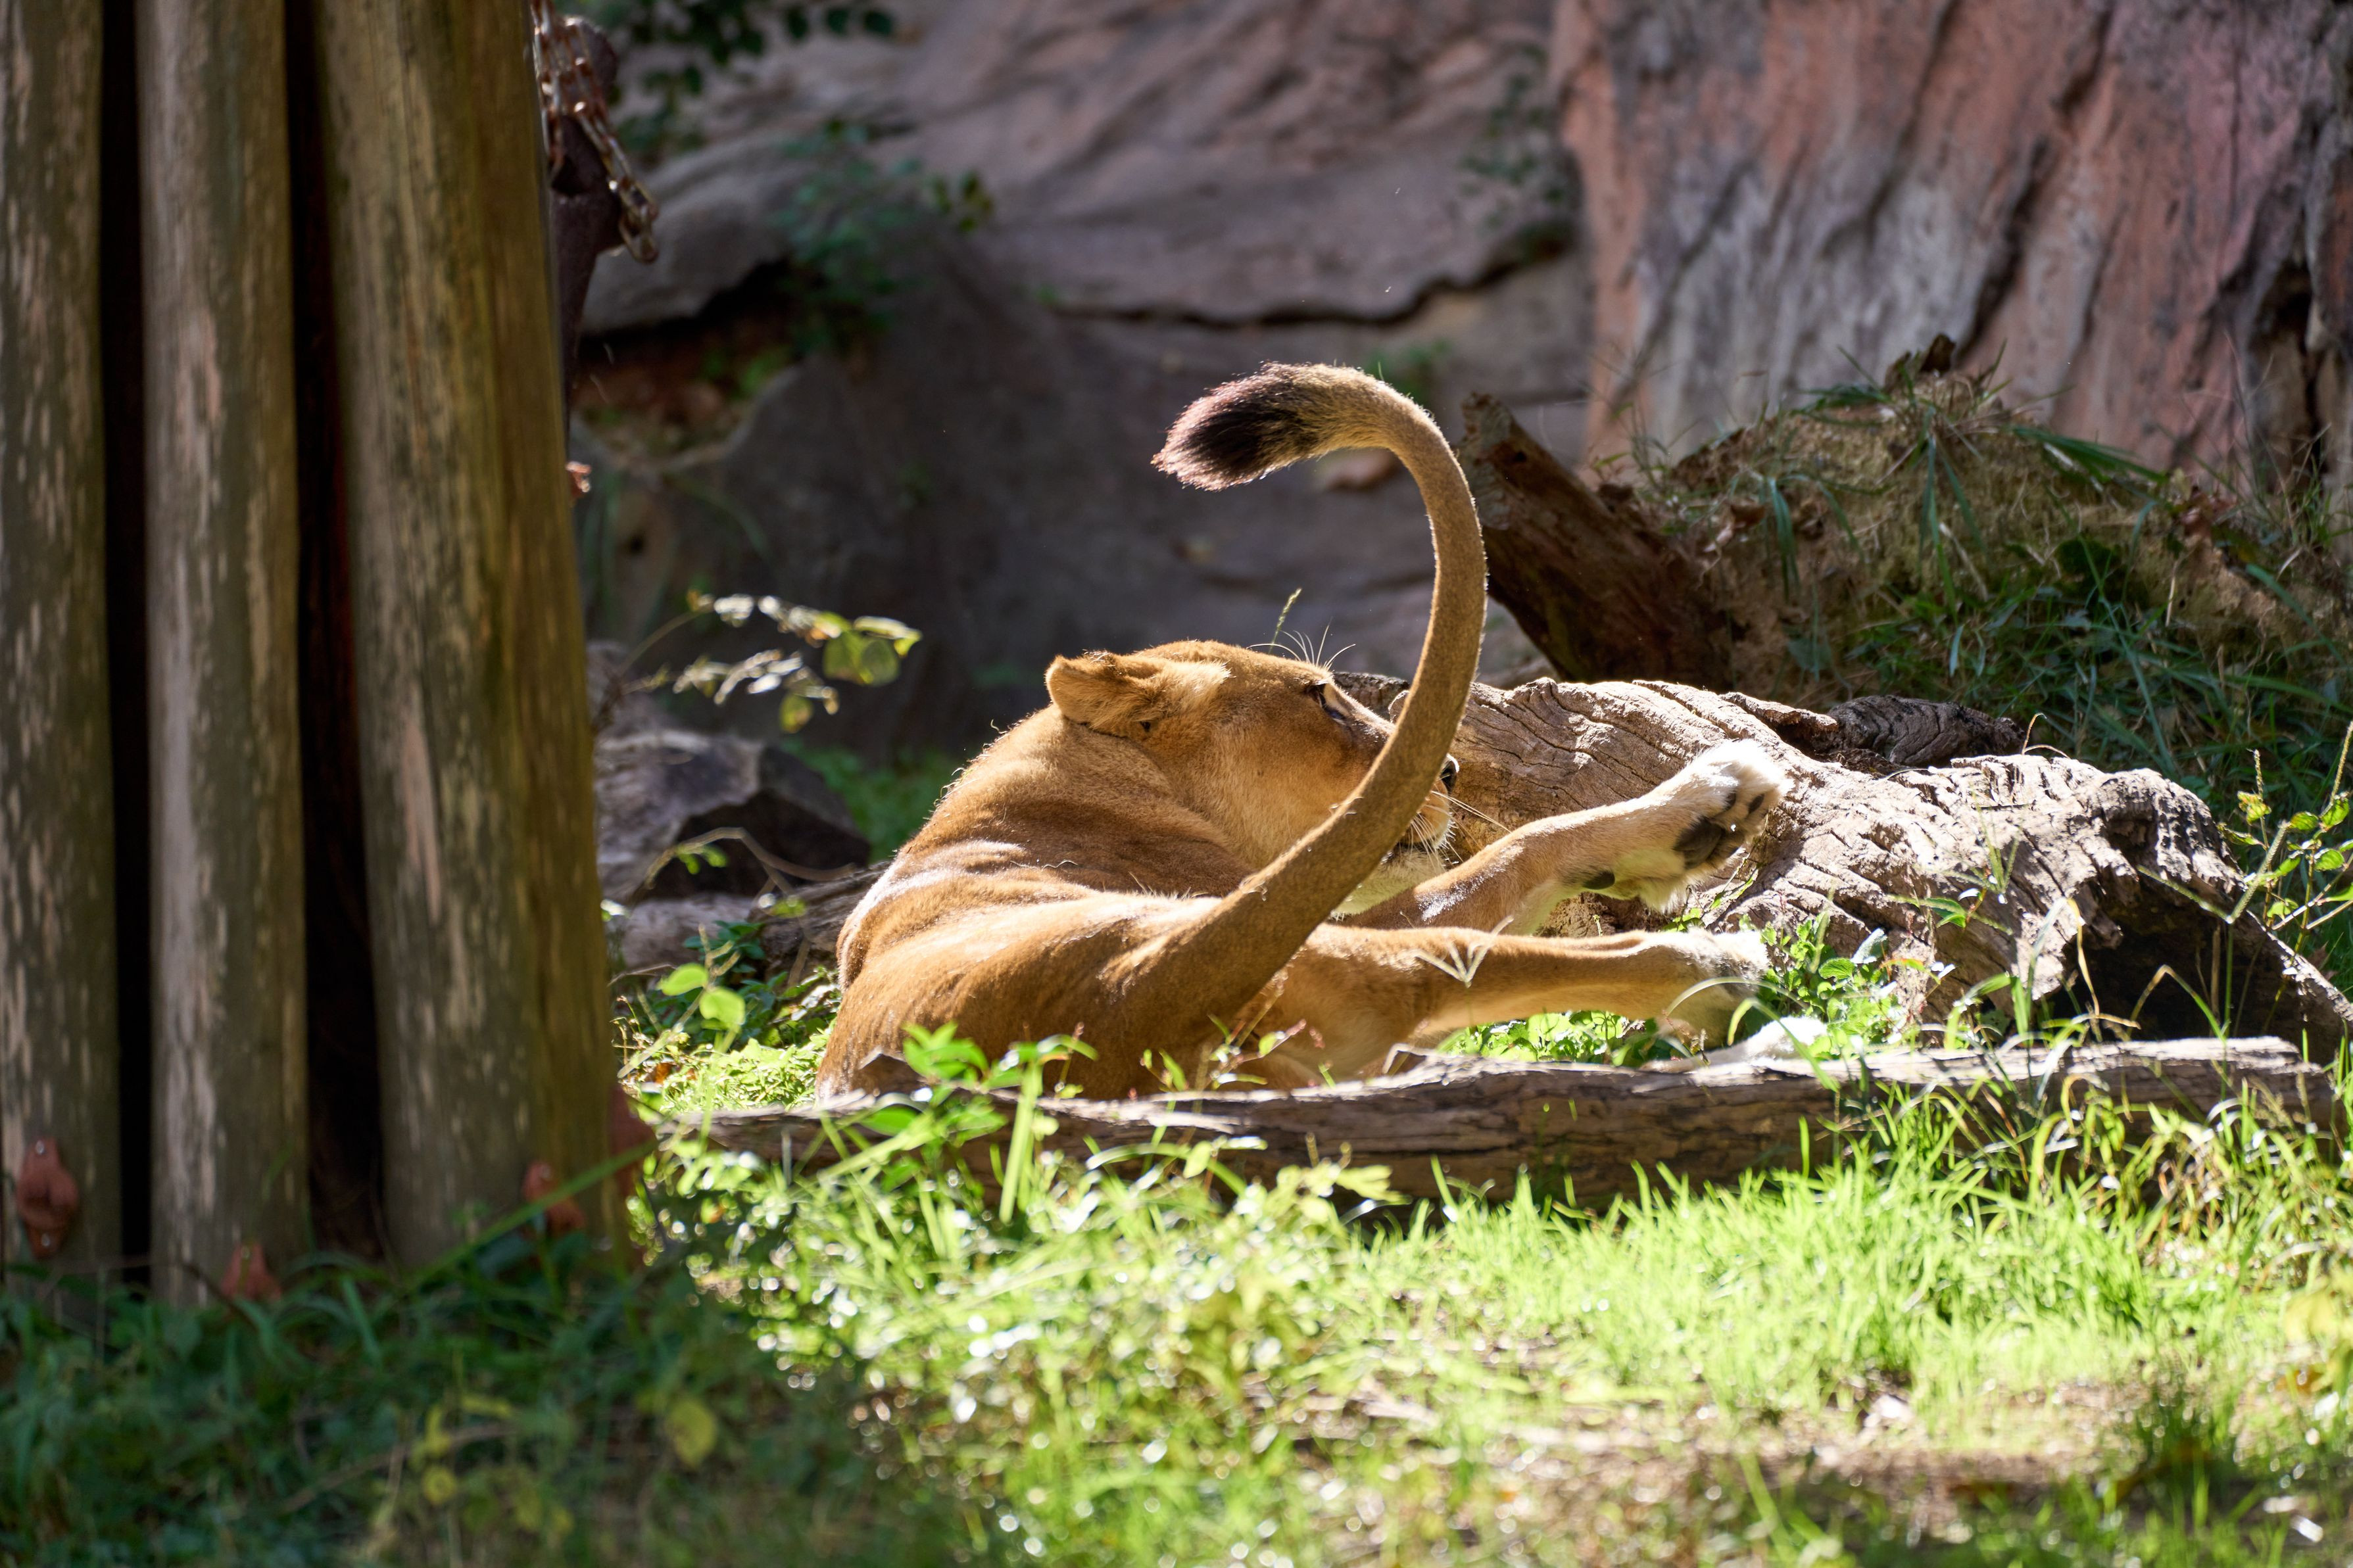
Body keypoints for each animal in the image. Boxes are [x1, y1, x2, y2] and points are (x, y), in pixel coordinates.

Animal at [815, 364, 1787, 1100]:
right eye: (1320, 696)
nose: (1447, 777)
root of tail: (1128, 998)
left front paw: (1704, 821)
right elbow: (1519, 847)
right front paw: (1710, 798)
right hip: (1324, 949)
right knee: (1460, 960)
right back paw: (1728, 974)